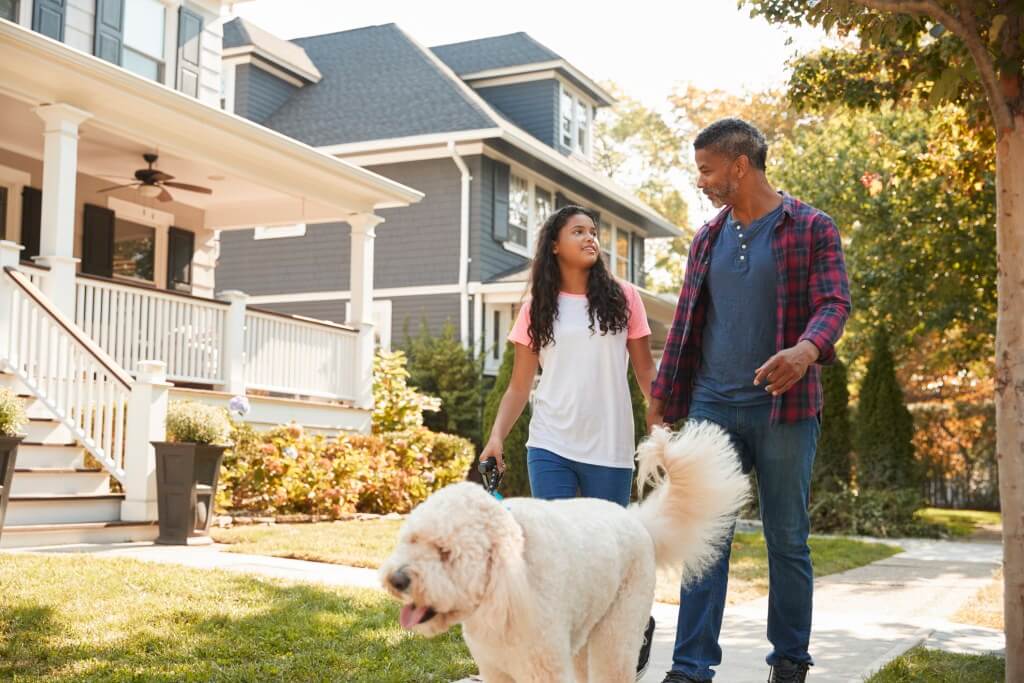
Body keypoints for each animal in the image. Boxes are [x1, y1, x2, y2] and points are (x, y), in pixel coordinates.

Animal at [380, 423, 749, 679]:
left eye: (445, 552)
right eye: (411, 540)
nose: (397, 580)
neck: (508, 582)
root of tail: (636, 520)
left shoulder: (543, 666)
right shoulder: (496, 669)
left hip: (615, 634)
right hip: (583, 635)